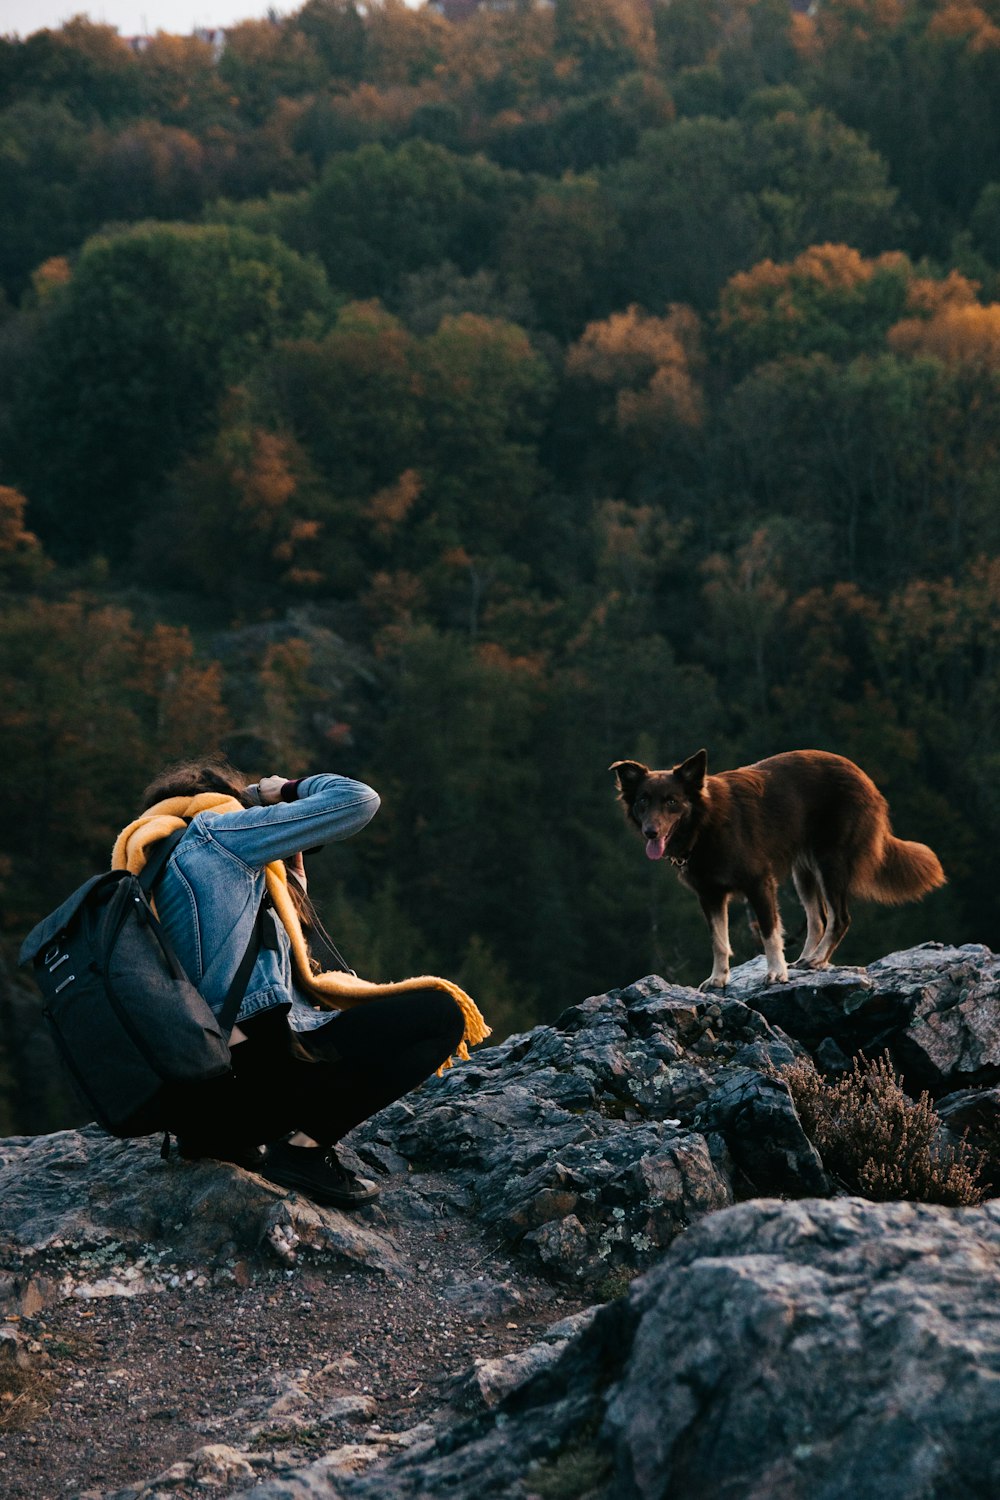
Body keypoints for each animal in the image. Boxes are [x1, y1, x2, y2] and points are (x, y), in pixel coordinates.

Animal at [611, 747, 947, 984]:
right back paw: (807, 959)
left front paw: (776, 973)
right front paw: (718, 979)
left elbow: (770, 933)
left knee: (840, 918)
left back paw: (817, 959)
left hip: (830, 863)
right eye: (643, 801)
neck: (705, 824)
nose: (651, 832)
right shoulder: (710, 895)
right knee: (818, 919)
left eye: (671, 801)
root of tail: (864, 777)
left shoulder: (759, 883)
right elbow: (719, 940)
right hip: (804, 872)